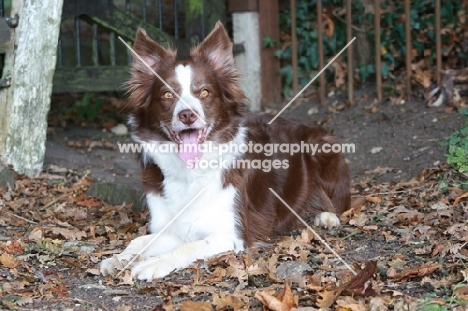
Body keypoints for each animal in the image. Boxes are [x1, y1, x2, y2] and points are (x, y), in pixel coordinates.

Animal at [100, 20, 350, 282]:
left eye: (204, 92)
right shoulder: (172, 228)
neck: (190, 172)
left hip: (322, 146)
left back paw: (325, 216)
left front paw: (152, 264)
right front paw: (118, 258)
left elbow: (187, 246)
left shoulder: (231, 234)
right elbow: (139, 242)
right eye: (167, 94)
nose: (187, 115)